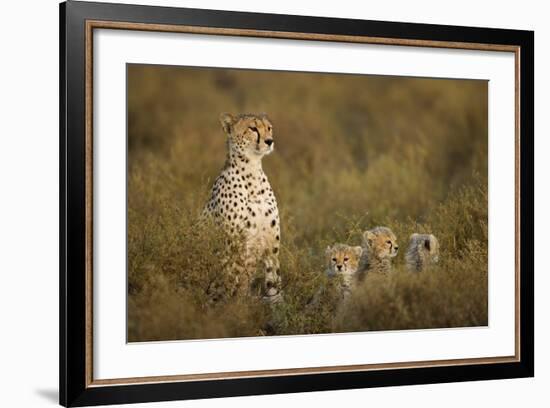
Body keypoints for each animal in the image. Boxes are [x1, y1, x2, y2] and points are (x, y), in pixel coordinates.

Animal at [203, 113, 282, 302]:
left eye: (269, 128)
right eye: (252, 128)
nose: (270, 141)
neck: (252, 172)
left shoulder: (272, 246)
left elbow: (275, 283)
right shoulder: (232, 245)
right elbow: (230, 279)